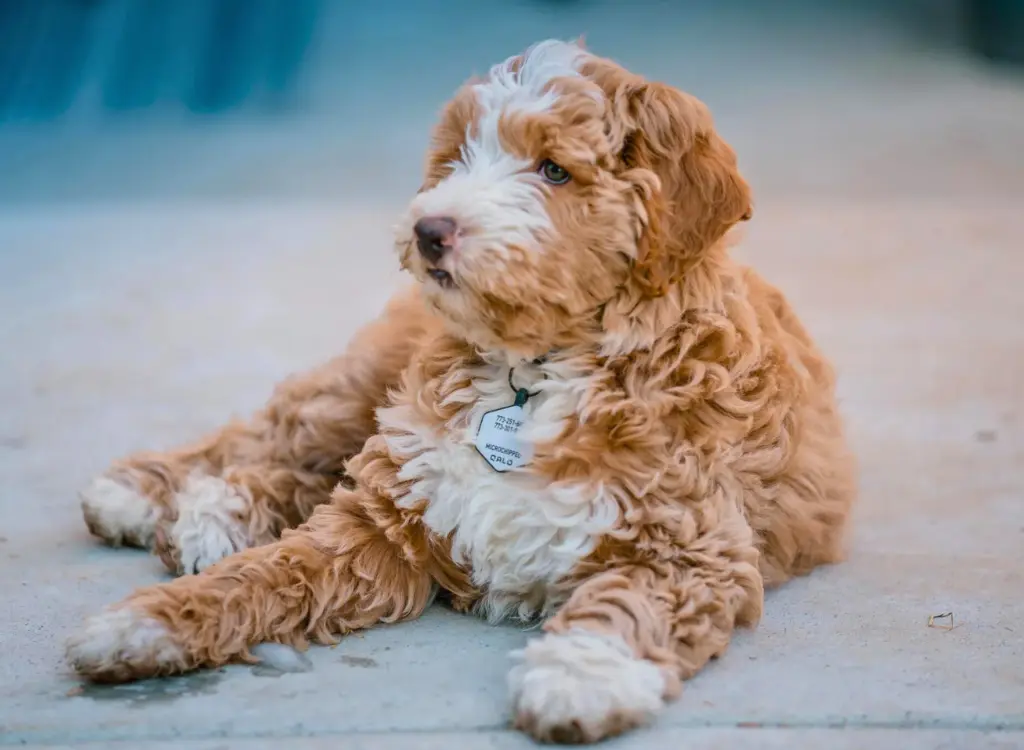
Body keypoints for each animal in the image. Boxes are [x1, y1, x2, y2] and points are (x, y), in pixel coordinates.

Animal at [66, 39, 856, 745]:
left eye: (554, 169)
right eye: (457, 158)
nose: (429, 229)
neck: (533, 371)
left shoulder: (692, 547)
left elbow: (632, 601)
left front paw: (579, 674)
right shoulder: (383, 518)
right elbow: (266, 575)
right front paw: (141, 624)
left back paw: (213, 513)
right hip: (369, 384)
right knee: (282, 433)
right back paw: (150, 495)